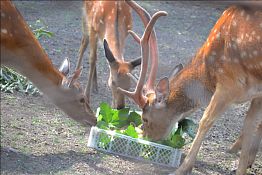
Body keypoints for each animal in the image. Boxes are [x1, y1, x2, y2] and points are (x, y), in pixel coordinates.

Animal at [114, 1, 262, 175]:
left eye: (145, 118)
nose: (145, 137)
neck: (208, 72)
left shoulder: (229, 82)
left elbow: (205, 121)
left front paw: (183, 168)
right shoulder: (257, 95)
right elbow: (250, 127)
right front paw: (243, 166)